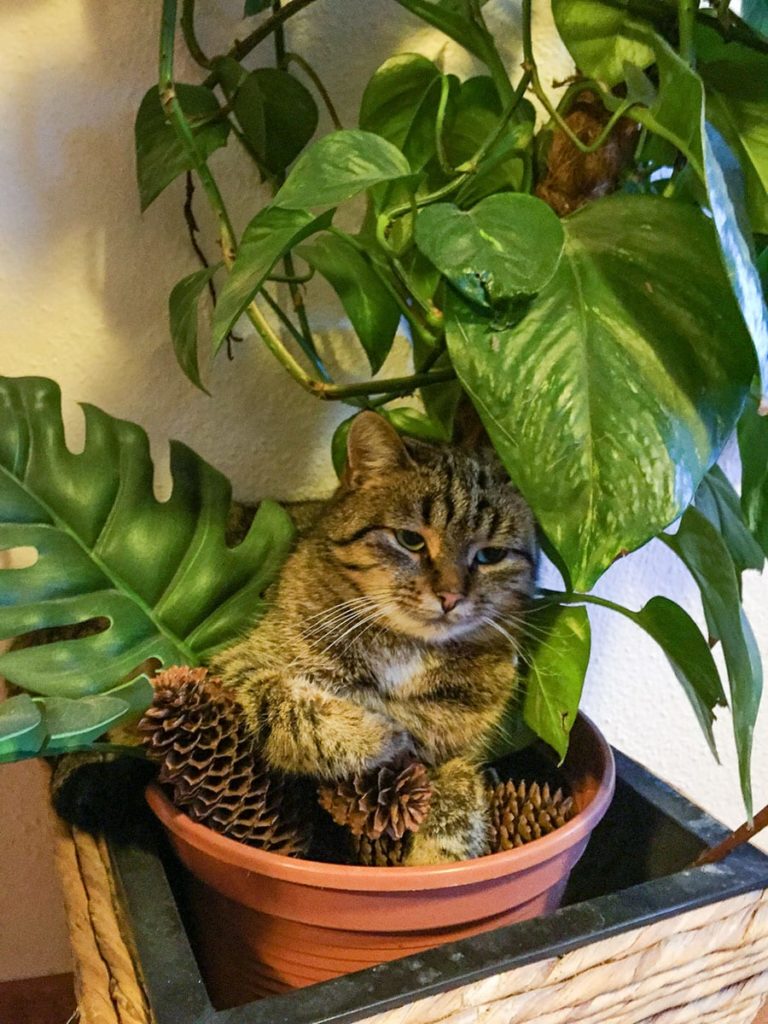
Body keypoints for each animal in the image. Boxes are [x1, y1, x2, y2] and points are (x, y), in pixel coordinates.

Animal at [208, 411, 536, 860]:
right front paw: (378, 733)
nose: (450, 597)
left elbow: (461, 788)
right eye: (410, 540)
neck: (408, 647)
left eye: (490, 555)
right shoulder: (238, 664)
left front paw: (436, 858)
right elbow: (290, 703)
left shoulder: (465, 748)